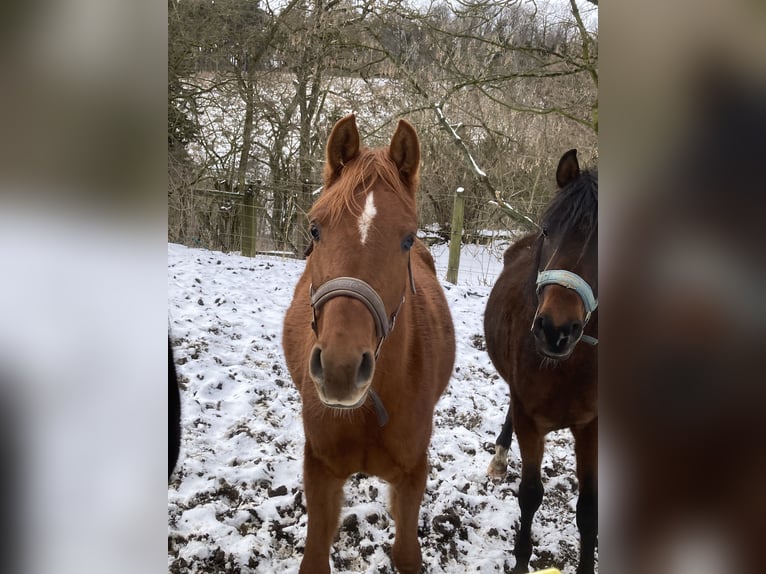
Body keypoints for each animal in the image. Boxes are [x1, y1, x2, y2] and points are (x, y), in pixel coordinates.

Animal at [282, 114, 455, 573]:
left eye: (408, 238)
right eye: (315, 228)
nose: (341, 369)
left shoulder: (412, 477)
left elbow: (406, 552)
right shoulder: (321, 472)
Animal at [484, 150, 598, 574]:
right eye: (548, 231)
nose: (555, 329)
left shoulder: (591, 428)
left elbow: (589, 510)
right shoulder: (531, 422)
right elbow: (530, 495)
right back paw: (500, 458)